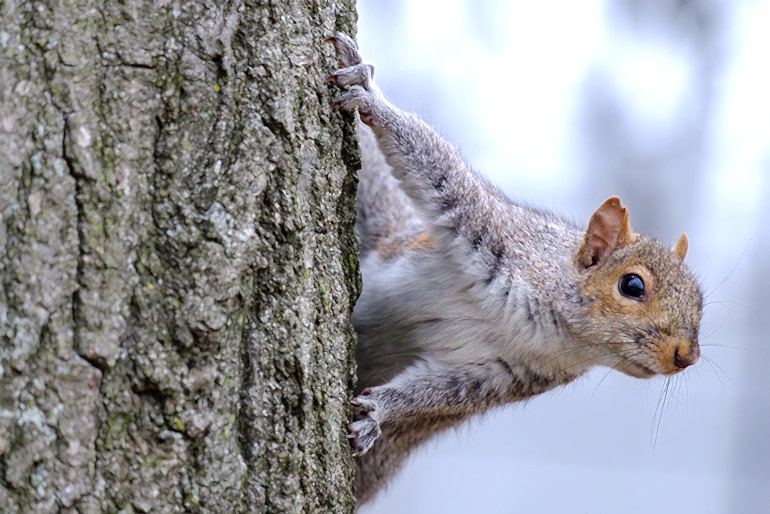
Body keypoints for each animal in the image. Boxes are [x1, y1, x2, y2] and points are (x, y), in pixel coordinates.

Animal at [324, 34, 704, 506]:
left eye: (701, 302)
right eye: (632, 285)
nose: (686, 357)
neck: (551, 329)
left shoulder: (504, 376)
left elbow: (434, 396)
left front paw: (378, 411)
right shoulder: (491, 231)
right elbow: (434, 164)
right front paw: (369, 95)